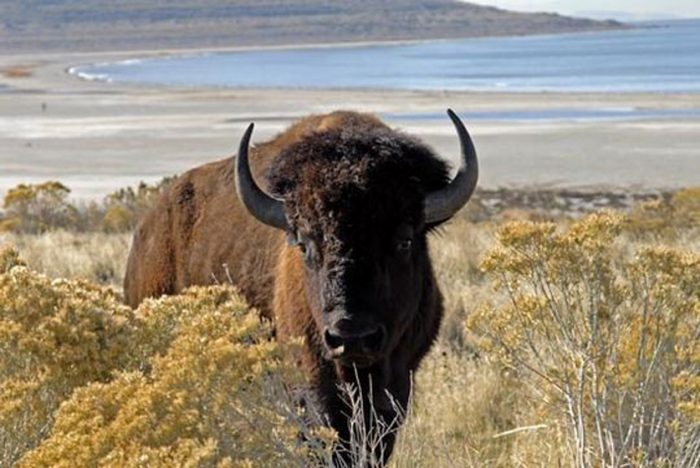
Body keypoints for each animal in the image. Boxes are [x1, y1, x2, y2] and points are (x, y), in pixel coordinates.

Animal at [123, 110, 478, 464]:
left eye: (404, 240)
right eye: (305, 244)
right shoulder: (310, 379)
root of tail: (146, 230)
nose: (352, 336)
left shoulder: (399, 378)